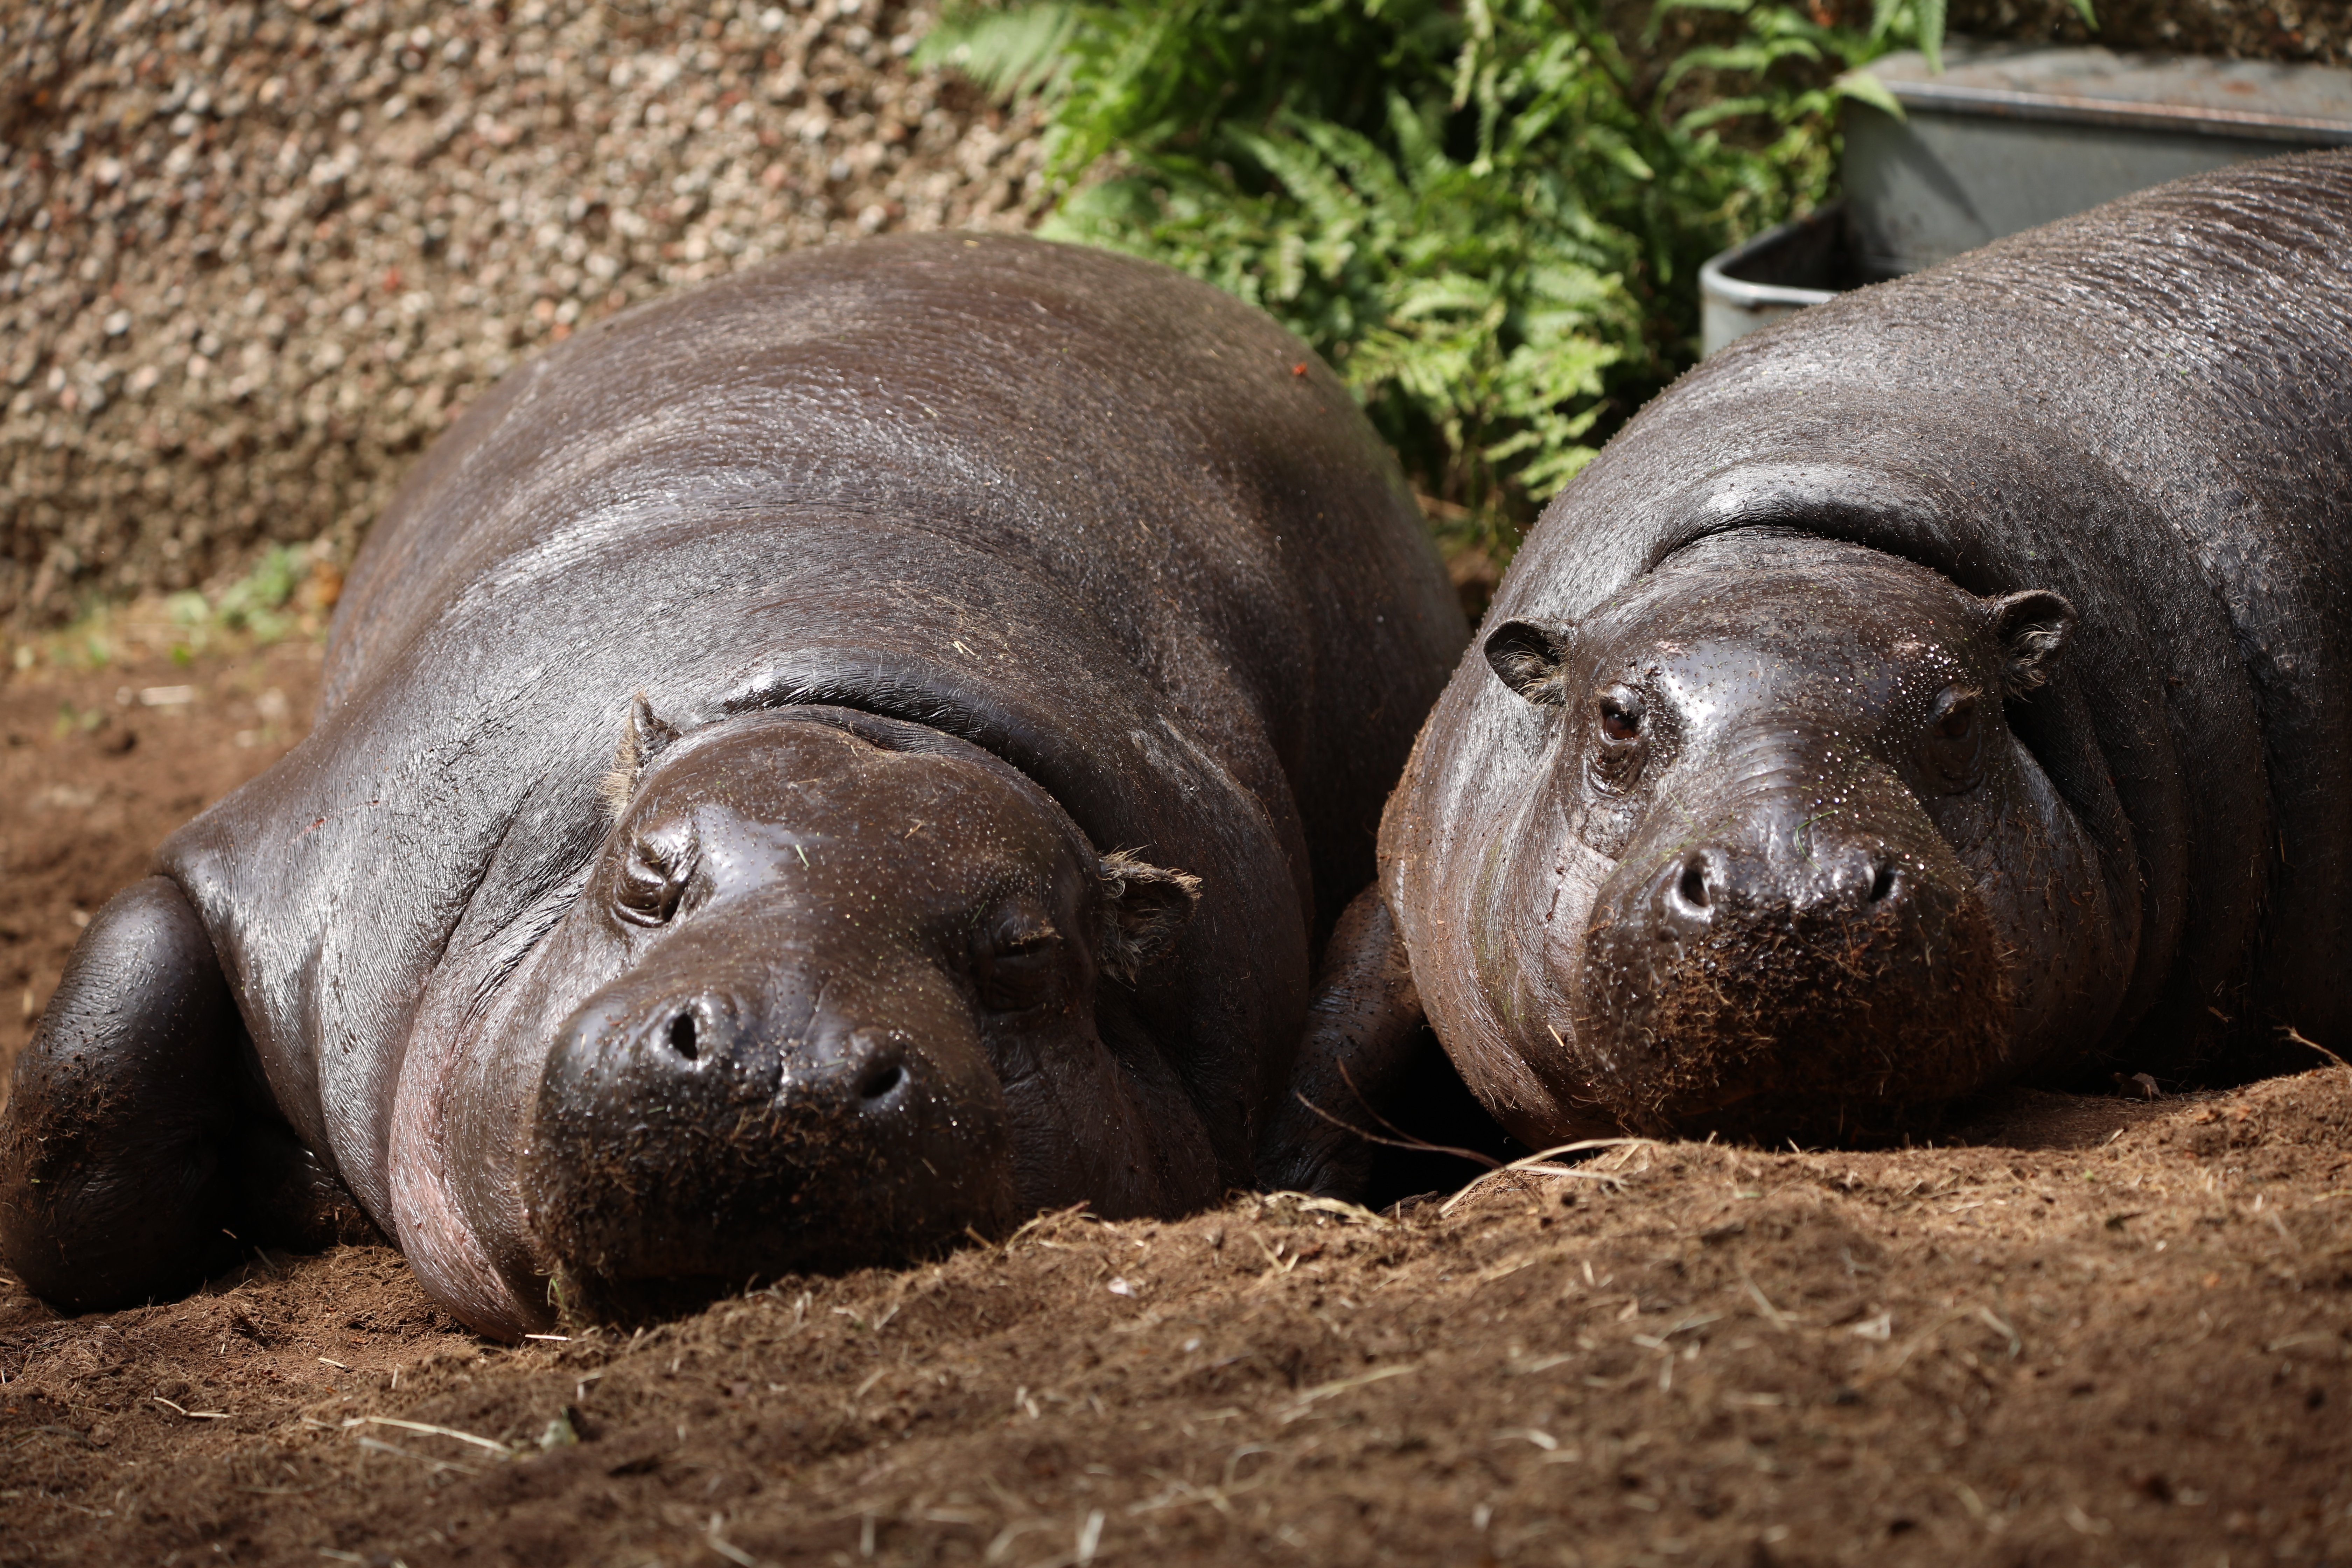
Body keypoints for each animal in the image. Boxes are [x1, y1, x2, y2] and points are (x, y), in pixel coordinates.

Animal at [5, 236, 1468, 1335]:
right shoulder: (285, 868)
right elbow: (85, 1101)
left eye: (1028, 953)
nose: (781, 1059)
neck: (862, 700)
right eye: (645, 879)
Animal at [1270, 150, 2352, 1189]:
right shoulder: (1402, 876)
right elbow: (1346, 1019)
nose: (1787, 892)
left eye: (1960, 714)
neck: (1788, 541)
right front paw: (1296, 1178)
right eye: (1614, 717)